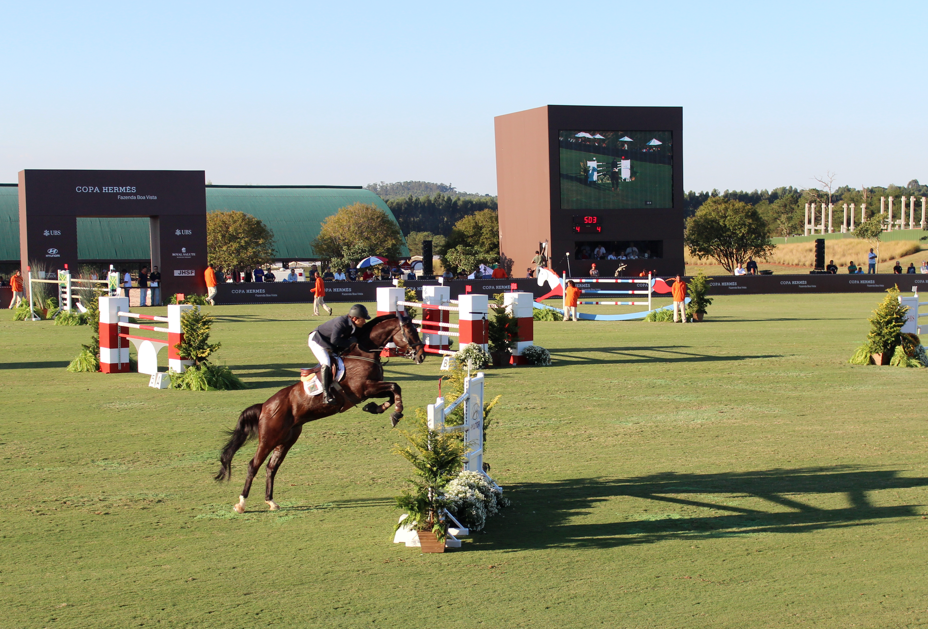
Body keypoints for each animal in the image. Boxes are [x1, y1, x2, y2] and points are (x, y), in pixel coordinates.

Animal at [214, 314, 424, 516]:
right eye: (410, 332)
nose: (421, 355)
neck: (364, 354)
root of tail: (265, 406)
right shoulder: (364, 388)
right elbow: (395, 386)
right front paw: (395, 414)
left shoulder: (371, 389)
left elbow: (392, 391)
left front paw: (377, 408)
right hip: (268, 438)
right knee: (253, 465)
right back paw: (241, 504)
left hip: (286, 440)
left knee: (271, 467)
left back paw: (271, 502)